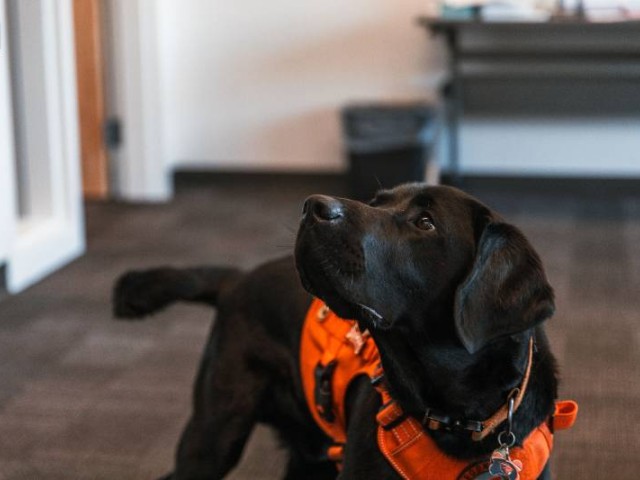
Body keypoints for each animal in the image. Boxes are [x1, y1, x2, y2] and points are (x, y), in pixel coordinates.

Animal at [115, 182, 560, 478]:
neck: (456, 418)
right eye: (377, 202)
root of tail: (237, 278)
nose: (312, 205)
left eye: (425, 222)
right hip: (215, 431)